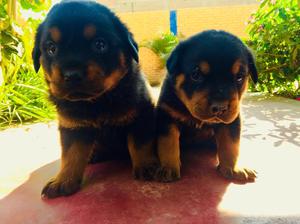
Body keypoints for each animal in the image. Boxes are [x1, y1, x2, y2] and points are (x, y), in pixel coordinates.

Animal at [33, 1, 157, 198]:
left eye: (100, 44)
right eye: (52, 48)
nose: (72, 75)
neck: (97, 102)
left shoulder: (141, 115)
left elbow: (140, 144)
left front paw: (147, 166)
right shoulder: (72, 126)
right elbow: (71, 154)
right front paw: (63, 180)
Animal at [157, 29, 258, 183]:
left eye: (239, 77)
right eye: (196, 74)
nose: (220, 107)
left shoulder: (233, 120)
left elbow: (231, 144)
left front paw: (233, 168)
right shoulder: (167, 115)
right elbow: (168, 143)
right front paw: (168, 168)